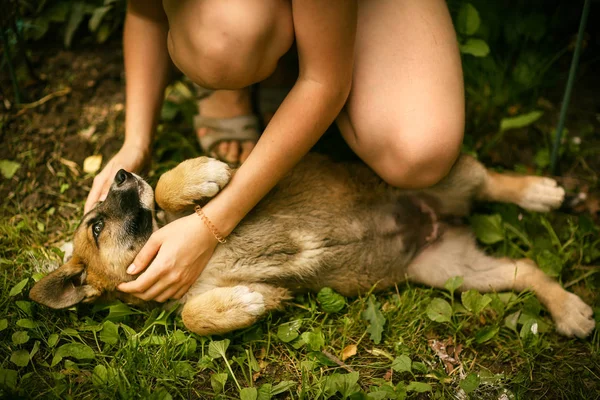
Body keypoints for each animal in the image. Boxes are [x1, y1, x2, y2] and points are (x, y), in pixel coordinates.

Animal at [29, 153, 596, 338]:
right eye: (96, 226)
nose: (123, 172)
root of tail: (438, 221)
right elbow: (193, 316)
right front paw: (246, 303)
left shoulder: (238, 195)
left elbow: (169, 191)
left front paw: (200, 173)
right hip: (454, 271)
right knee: (526, 268)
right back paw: (569, 309)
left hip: (440, 174)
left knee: (493, 182)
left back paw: (540, 192)